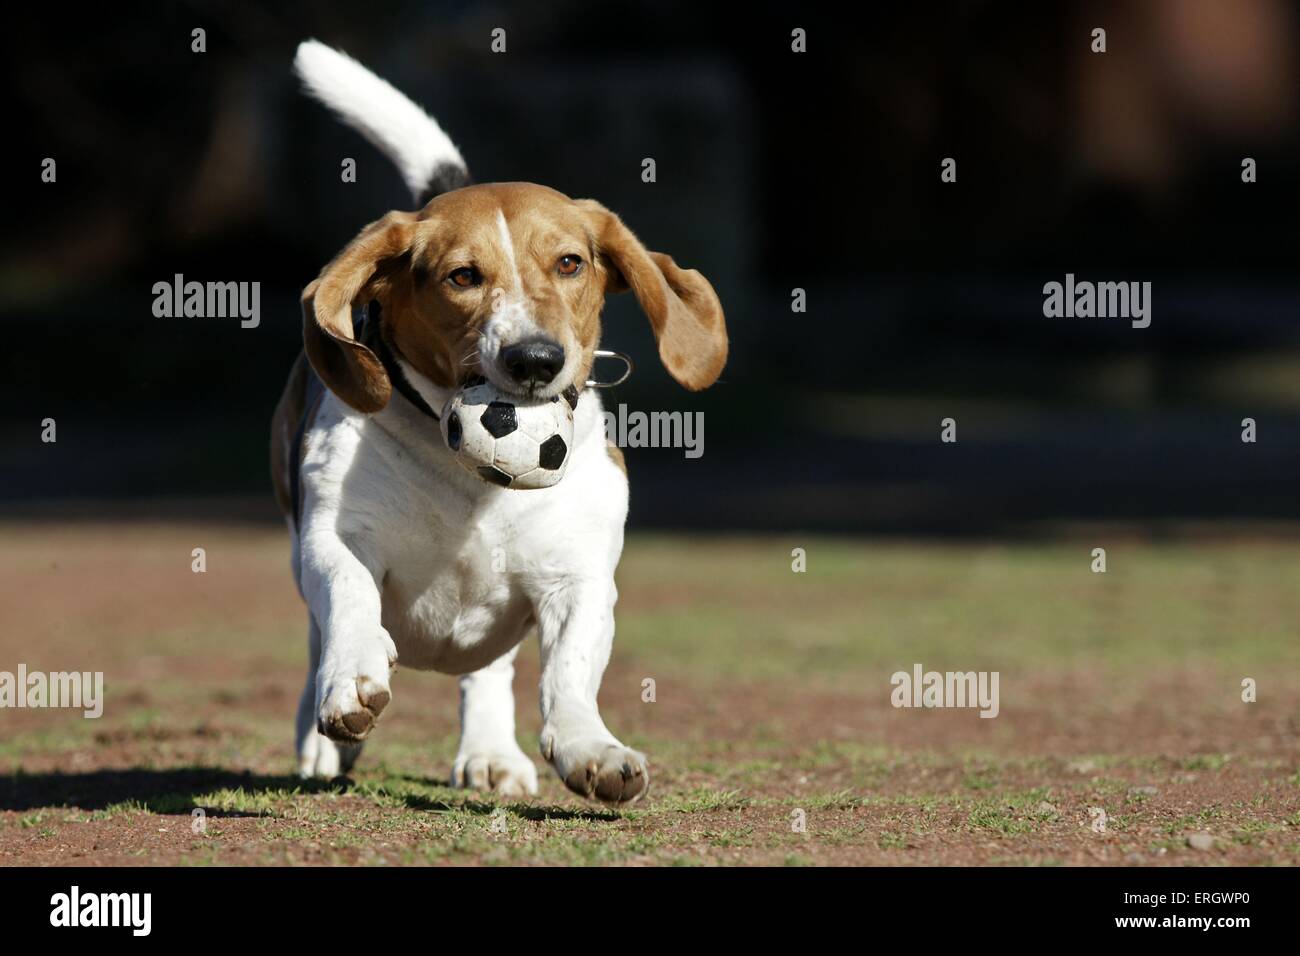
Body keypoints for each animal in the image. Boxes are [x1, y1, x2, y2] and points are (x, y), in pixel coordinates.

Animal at [269, 37, 728, 806]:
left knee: (487, 672)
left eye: (570, 263)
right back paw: (322, 737)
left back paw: (488, 751)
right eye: (462, 277)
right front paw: (351, 684)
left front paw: (589, 748)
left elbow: (567, 673)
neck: (469, 481)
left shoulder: (579, 577)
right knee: (314, 640)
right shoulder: (334, 539)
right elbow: (353, 603)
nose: (536, 359)